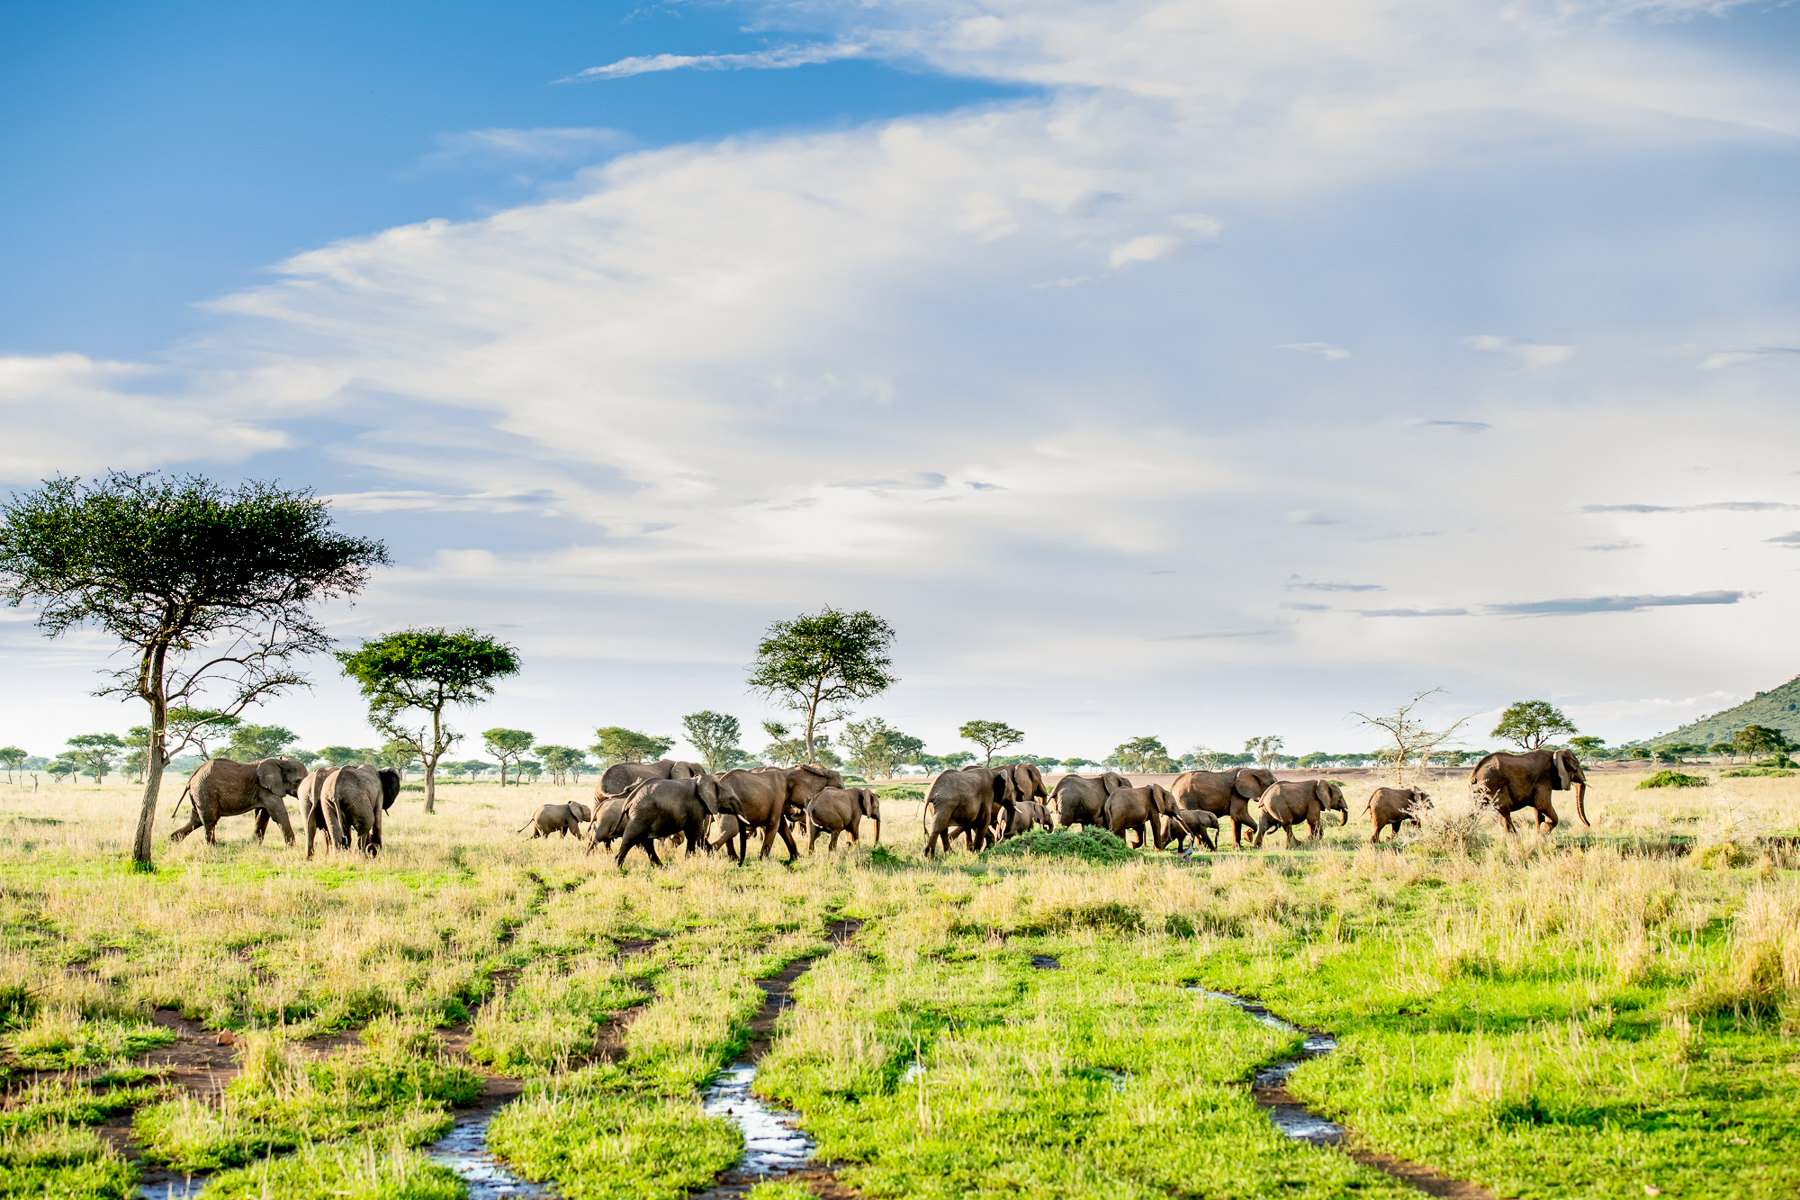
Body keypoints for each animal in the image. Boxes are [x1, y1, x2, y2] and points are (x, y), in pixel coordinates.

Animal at [169, 755, 306, 849]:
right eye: (298, 781)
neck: (280, 762)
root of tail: (191, 778)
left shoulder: (265, 789)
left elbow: (262, 815)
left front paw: (255, 847)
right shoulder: (266, 789)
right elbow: (278, 813)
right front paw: (292, 848)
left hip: (198, 794)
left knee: (196, 820)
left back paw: (173, 841)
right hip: (204, 791)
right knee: (209, 820)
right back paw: (213, 848)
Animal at [1461, 752, 1591, 834]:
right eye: (1576, 766)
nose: (1589, 825)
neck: (1555, 753)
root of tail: (1475, 774)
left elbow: (1538, 809)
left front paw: (1540, 835)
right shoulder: (1543, 779)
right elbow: (1542, 804)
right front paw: (1545, 829)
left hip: (1476, 791)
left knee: (1473, 811)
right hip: (1494, 787)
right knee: (1504, 811)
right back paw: (1514, 837)